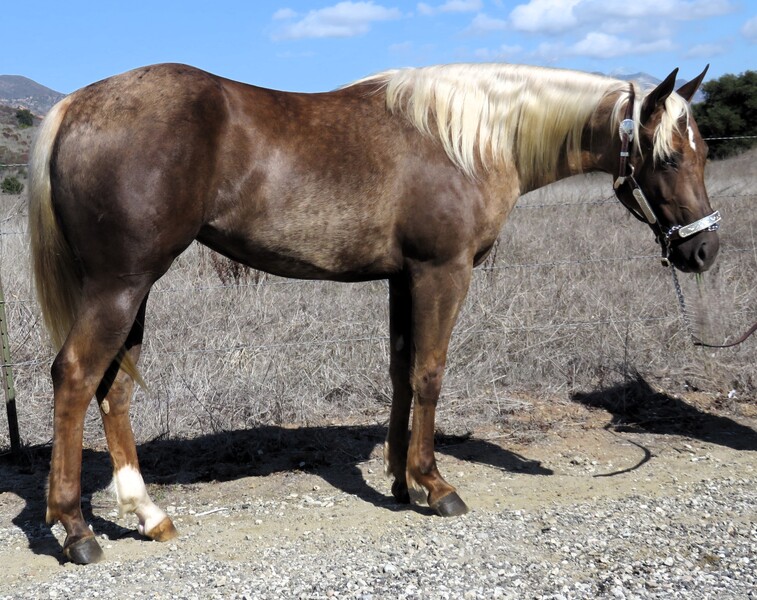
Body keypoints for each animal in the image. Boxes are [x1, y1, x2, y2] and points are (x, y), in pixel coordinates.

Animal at [28, 61, 716, 564]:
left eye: (704, 153)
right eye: (668, 158)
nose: (704, 250)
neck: (466, 138)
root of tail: (76, 104)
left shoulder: (402, 279)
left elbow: (401, 374)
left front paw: (399, 480)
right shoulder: (443, 272)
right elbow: (430, 374)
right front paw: (435, 486)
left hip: (133, 290)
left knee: (114, 390)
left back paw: (148, 515)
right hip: (120, 285)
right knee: (75, 377)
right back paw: (75, 529)